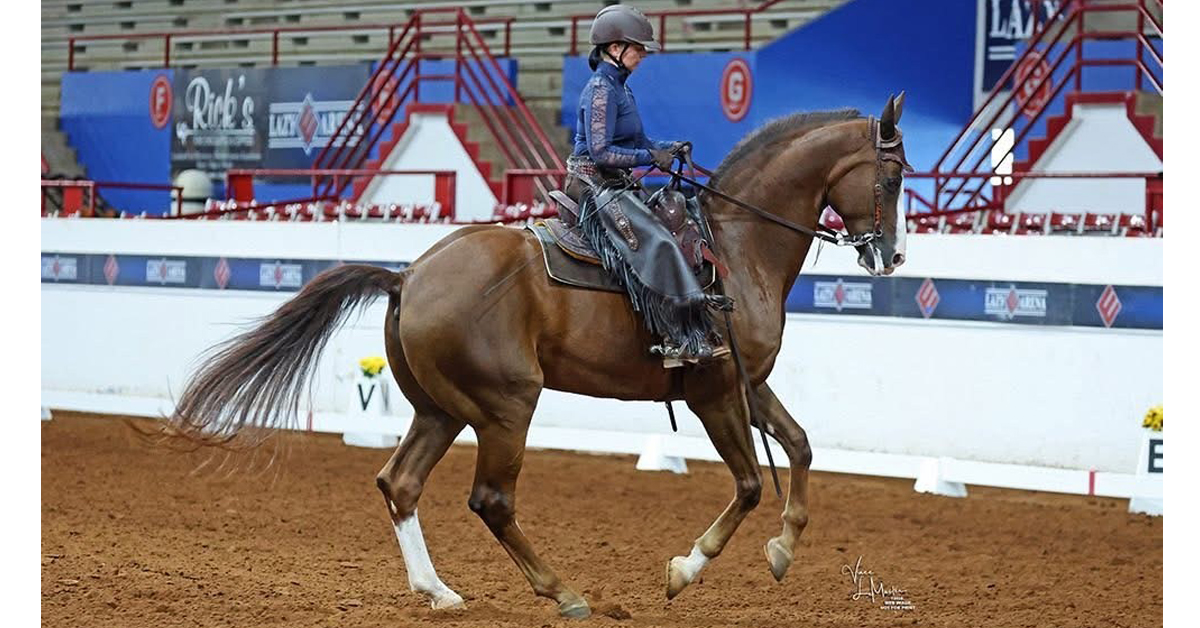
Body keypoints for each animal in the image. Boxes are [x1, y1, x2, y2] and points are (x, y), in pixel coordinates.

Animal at [166, 93, 911, 618]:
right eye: (892, 176)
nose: (890, 255)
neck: (734, 245)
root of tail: (409, 275)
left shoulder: (749, 385)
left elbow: (801, 445)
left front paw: (784, 549)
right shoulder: (713, 391)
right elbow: (752, 483)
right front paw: (683, 569)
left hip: (442, 410)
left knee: (400, 484)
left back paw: (439, 591)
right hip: (505, 406)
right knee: (491, 500)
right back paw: (564, 593)